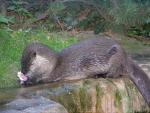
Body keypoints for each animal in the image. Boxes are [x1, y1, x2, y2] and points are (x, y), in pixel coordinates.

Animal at [17, 35, 150, 106]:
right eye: (21, 63)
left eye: (30, 64)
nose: (23, 72)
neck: (53, 65)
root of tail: (126, 57)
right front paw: (21, 80)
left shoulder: (54, 74)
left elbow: (43, 80)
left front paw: (28, 81)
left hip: (116, 60)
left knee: (116, 73)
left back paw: (102, 75)